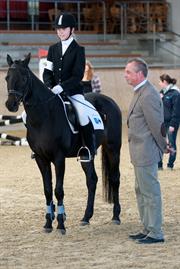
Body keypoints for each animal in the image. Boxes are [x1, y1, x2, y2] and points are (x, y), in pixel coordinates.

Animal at [4, 53, 121, 233]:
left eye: (24, 77)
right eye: (6, 78)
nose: (10, 105)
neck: (44, 116)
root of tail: (110, 101)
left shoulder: (58, 158)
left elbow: (58, 190)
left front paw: (60, 223)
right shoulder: (41, 158)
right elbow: (47, 190)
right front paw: (48, 223)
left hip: (113, 148)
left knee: (115, 178)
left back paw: (115, 216)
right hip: (86, 155)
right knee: (92, 180)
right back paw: (86, 217)